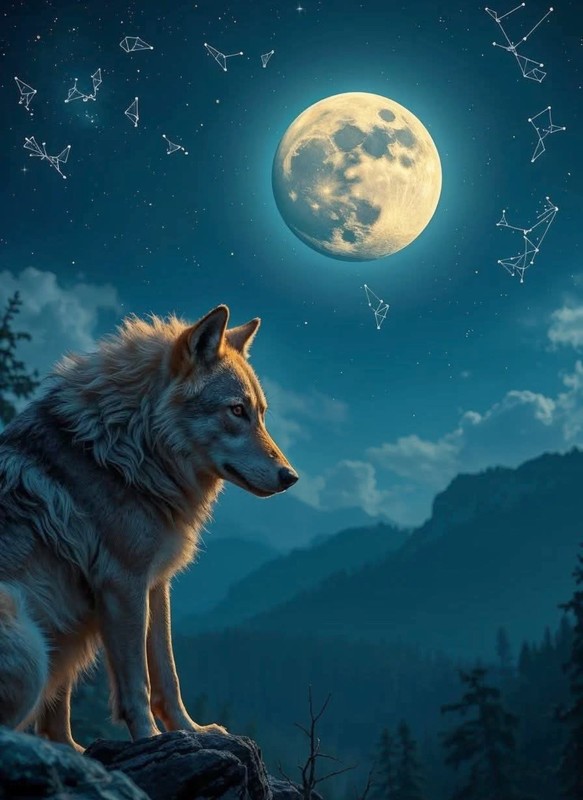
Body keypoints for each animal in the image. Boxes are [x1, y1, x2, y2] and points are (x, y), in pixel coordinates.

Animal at [0, 304, 298, 750]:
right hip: (30, 639)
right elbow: (136, 683)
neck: (122, 450)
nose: (291, 476)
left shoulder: (154, 584)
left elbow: (166, 674)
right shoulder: (123, 585)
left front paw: (190, 731)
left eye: (260, 413)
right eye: (236, 411)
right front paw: (147, 737)